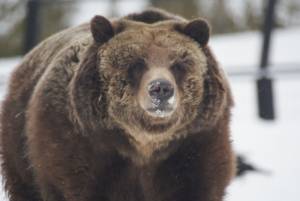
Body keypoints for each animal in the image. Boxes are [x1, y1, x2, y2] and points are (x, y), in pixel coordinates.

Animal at [0, 8, 236, 201]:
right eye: (137, 64)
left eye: (178, 64)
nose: (160, 88)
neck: (144, 146)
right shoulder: (76, 147)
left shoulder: (196, 145)